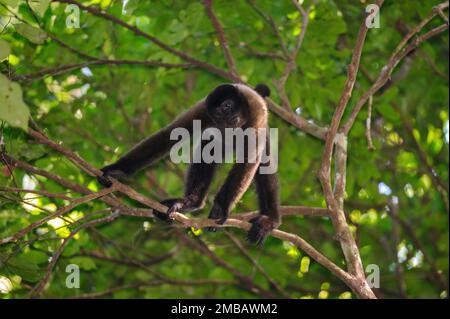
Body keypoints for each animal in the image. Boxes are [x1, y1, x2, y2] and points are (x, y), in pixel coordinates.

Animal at [99, 82, 282, 245]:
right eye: (218, 115)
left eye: (228, 106)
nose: (228, 119)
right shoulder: (203, 111)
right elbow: (169, 134)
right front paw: (115, 170)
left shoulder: (255, 118)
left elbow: (249, 160)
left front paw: (221, 208)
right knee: (210, 143)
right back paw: (191, 202)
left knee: (263, 164)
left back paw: (269, 220)